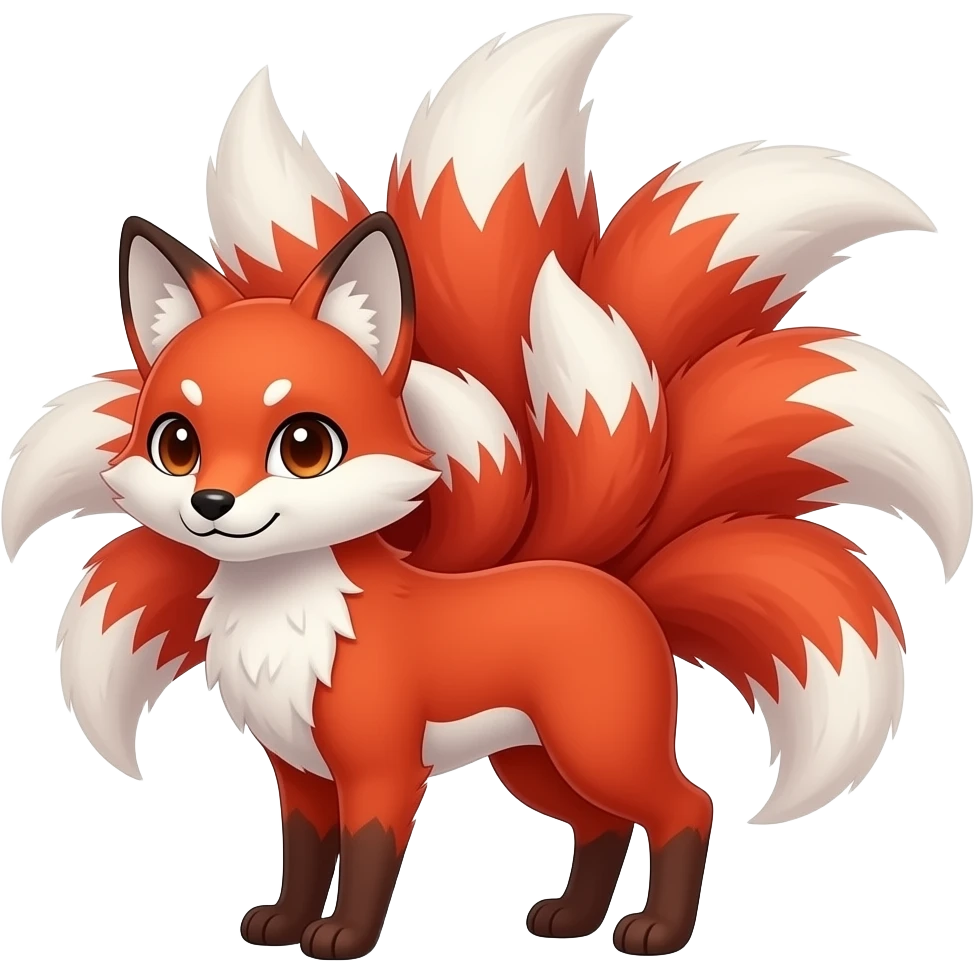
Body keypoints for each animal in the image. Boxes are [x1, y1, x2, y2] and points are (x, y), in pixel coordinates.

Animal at [2, 12, 969, 961]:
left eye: (305, 445)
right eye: (177, 443)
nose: (213, 506)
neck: (291, 623)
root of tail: (618, 582)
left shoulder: (381, 765)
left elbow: (367, 855)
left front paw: (342, 939)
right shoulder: (300, 772)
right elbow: (306, 852)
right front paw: (283, 922)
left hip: (593, 746)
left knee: (687, 805)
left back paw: (654, 933)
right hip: (535, 763)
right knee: (603, 826)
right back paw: (574, 921)